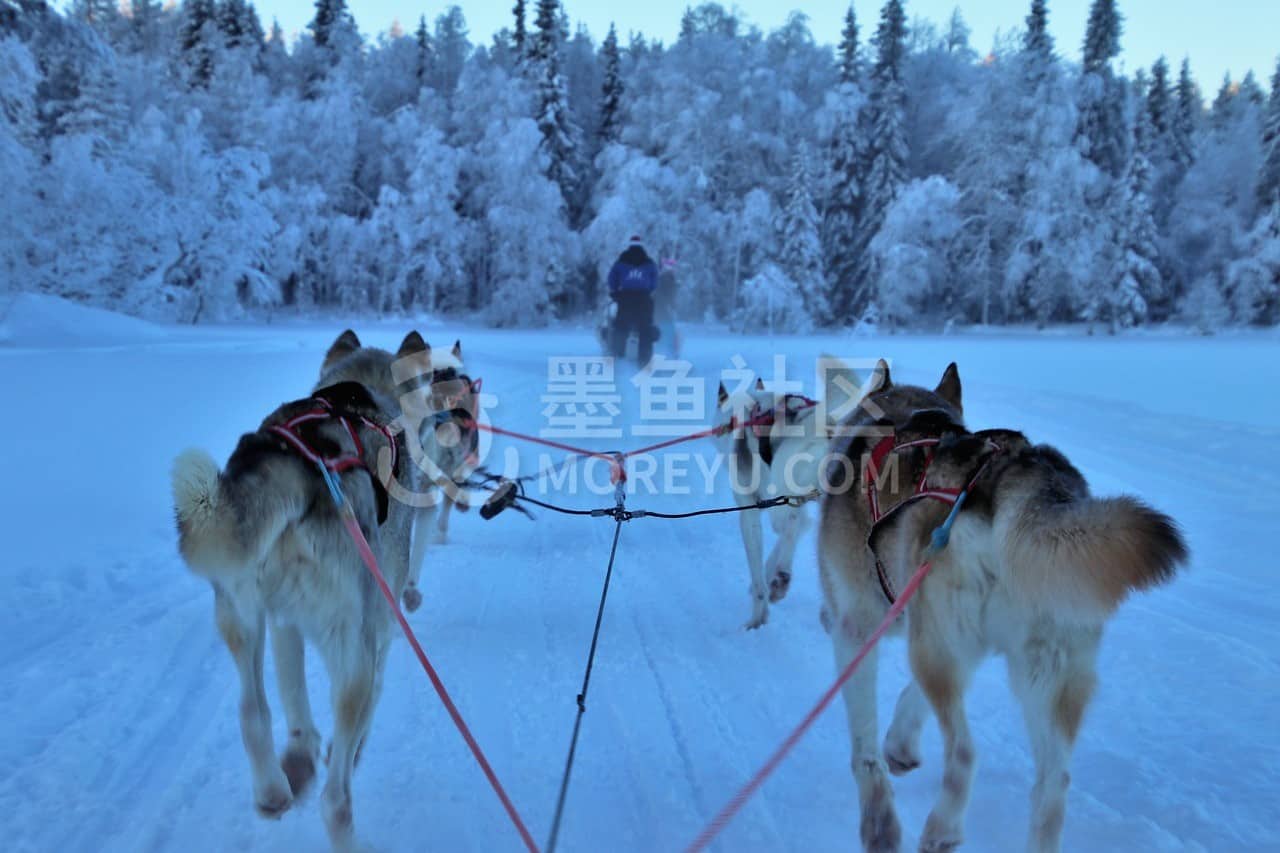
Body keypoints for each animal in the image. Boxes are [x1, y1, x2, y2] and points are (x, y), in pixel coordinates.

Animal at [171, 379, 414, 850]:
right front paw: (346, 749)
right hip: (351, 646)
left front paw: (301, 754)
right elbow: (371, 697)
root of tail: (298, 466)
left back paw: (272, 790)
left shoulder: (283, 622)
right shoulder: (378, 623)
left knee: (253, 713)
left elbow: (292, 695)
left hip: (239, 613)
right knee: (335, 801)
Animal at [819, 358, 1187, 850]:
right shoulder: (944, 635)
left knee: (964, 754)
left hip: (939, 650)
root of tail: (1016, 479)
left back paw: (943, 828)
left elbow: (865, 747)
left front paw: (879, 820)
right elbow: (910, 698)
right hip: (1044, 673)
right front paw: (900, 743)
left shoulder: (859, 630)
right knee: (1053, 785)